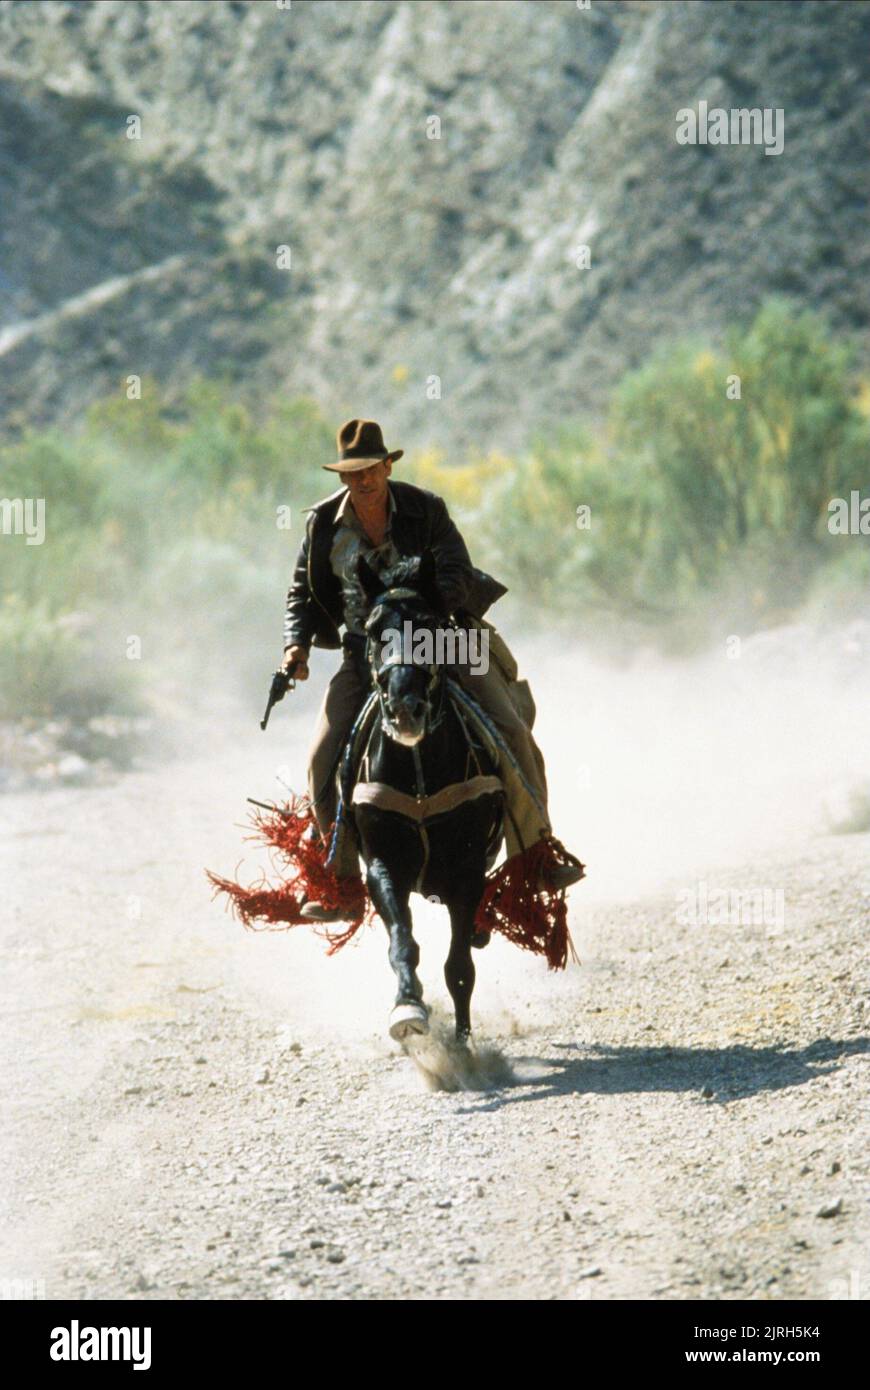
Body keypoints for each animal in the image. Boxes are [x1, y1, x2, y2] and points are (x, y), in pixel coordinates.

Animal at [343, 547, 500, 1045]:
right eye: (375, 630)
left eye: (429, 625)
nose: (404, 707)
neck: (419, 779)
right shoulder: (383, 865)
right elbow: (403, 945)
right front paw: (408, 1008)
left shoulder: (467, 873)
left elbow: (460, 968)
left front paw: (463, 1046)